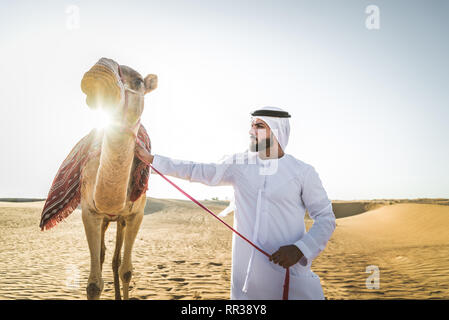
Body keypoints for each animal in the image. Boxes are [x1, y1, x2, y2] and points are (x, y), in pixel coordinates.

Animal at [79, 62, 157, 300]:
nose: (99, 71)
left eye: (139, 81)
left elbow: (127, 271)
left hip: (121, 220)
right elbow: (93, 284)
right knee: (105, 256)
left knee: (116, 261)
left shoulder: (136, 215)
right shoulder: (90, 213)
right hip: (106, 220)